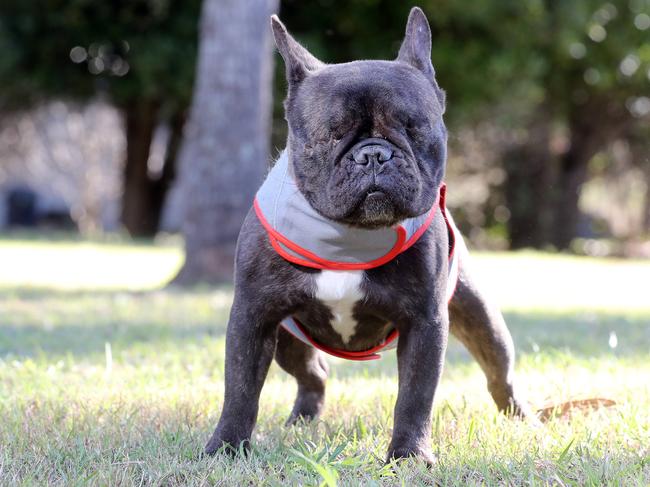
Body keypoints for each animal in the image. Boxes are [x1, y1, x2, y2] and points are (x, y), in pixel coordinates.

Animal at [204, 7, 532, 466]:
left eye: (413, 128)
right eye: (332, 134)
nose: (374, 154)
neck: (350, 234)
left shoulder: (425, 323)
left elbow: (414, 396)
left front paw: (409, 455)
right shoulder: (253, 318)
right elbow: (239, 390)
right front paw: (226, 448)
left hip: (481, 318)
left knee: (499, 372)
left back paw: (522, 419)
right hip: (289, 341)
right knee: (314, 373)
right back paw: (302, 421)